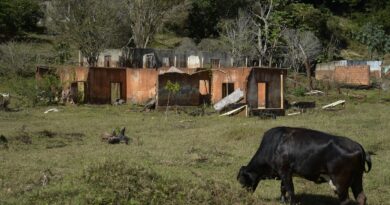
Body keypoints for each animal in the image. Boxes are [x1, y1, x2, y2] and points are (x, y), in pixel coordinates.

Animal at [238, 126, 372, 205]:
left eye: (241, 180)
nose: (244, 196)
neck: (274, 146)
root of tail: (358, 146)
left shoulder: (285, 171)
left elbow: (290, 190)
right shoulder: (284, 173)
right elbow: (283, 188)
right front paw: (283, 201)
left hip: (340, 182)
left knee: (345, 201)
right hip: (357, 179)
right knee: (361, 198)